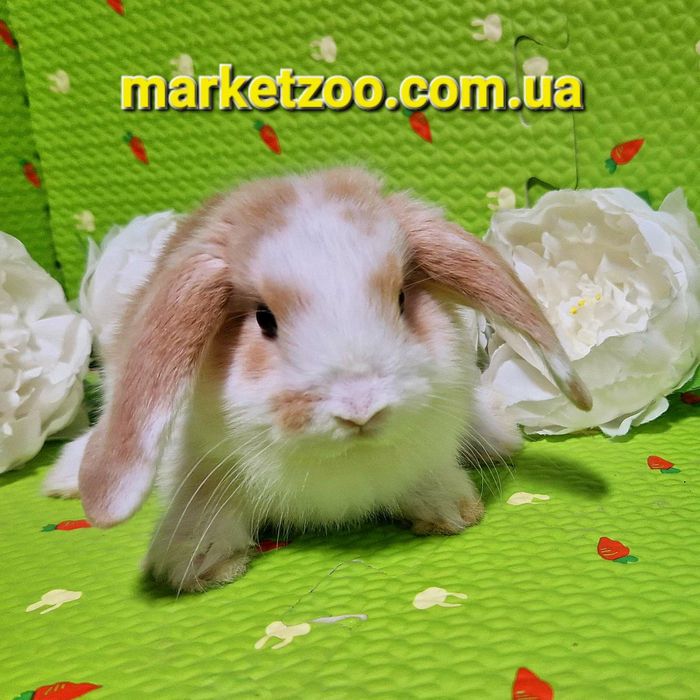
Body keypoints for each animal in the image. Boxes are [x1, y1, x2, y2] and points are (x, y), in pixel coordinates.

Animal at [44, 167, 591, 593]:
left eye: (401, 298)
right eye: (264, 319)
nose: (361, 408)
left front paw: (450, 511)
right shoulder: (200, 463)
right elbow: (202, 504)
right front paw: (194, 562)